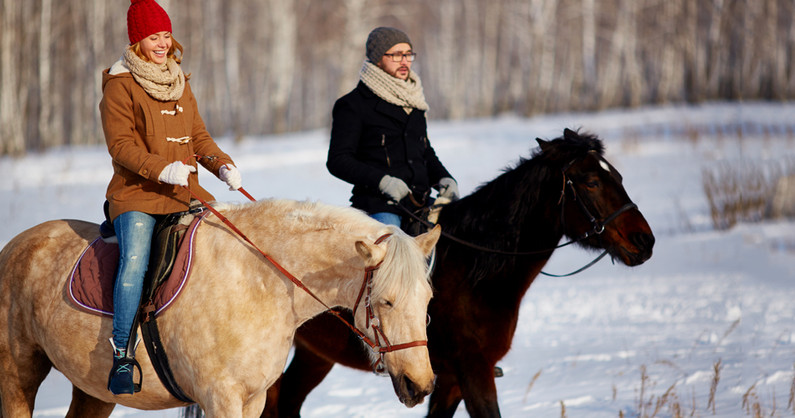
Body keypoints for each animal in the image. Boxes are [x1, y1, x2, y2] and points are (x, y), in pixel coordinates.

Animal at [0, 199, 442, 418]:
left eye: (427, 302)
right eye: (386, 301)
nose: (420, 385)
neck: (259, 279)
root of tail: (15, 246)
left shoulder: (254, 398)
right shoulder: (220, 398)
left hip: (94, 392)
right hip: (18, 376)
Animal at [260, 129, 652, 416]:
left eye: (616, 175)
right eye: (590, 181)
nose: (644, 241)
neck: (473, 271)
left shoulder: (447, 381)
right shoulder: (473, 371)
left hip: (315, 355)